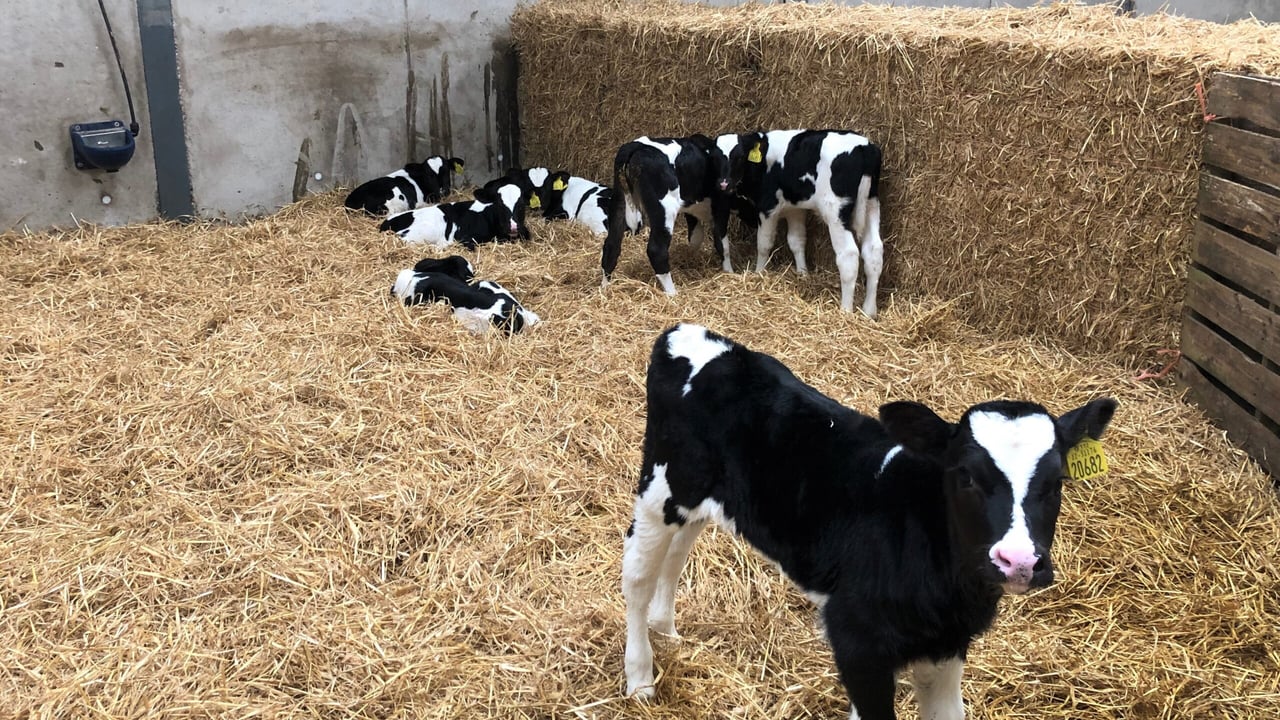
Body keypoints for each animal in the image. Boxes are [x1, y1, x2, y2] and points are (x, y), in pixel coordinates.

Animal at [601, 135, 734, 296]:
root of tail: (634, 146)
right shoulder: (721, 205)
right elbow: (722, 243)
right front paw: (729, 272)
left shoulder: (692, 208)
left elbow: (696, 237)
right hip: (665, 208)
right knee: (657, 250)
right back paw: (672, 293)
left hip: (619, 201)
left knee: (611, 246)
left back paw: (604, 289)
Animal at [622, 323, 1117, 720]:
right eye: (965, 477)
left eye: (1056, 481)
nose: (1019, 561)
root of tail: (689, 334)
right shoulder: (856, 640)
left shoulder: (945, 647)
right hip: (659, 486)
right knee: (638, 576)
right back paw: (641, 678)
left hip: (697, 499)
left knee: (679, 552)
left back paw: (667, 630)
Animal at [726, 129, 884, 317]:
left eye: (739, 157)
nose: (724, 183)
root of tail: (864, 147)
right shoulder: (795, 209)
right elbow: (797, 241)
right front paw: (803, 274)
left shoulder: (767, 207)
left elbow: (764, 244)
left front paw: (758, 273)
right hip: (872, 204)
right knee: (874, 251)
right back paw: (869, 312)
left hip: (835, 210)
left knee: (849, 255)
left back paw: (845, 311)